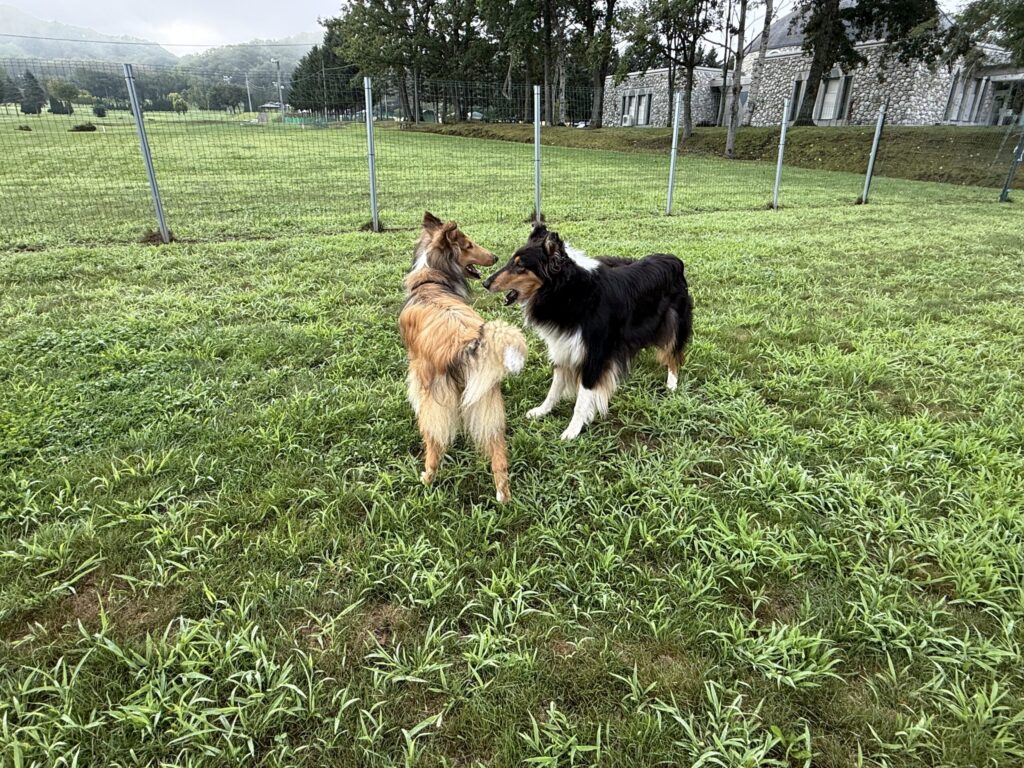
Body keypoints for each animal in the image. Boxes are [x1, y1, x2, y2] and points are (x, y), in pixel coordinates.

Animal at [399, 212, 528, 502]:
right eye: (468, 245)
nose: (494, 257)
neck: (431, 281)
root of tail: (468, 344)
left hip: (436, 399)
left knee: (434, 443)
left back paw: (427, 478)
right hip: (487, 401)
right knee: (497, 452)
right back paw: (503, 495)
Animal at [483, 225, 692, 440]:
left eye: (520, 266)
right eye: (511, 262)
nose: (485, 283)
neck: (569, 292)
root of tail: (674, 259)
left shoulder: (594, 355)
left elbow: (583, 398)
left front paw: (572, 430)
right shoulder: (563, 347)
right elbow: (555, 388)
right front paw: (542, 411)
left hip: (673, 324)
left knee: (673, 354)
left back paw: (672, 384)